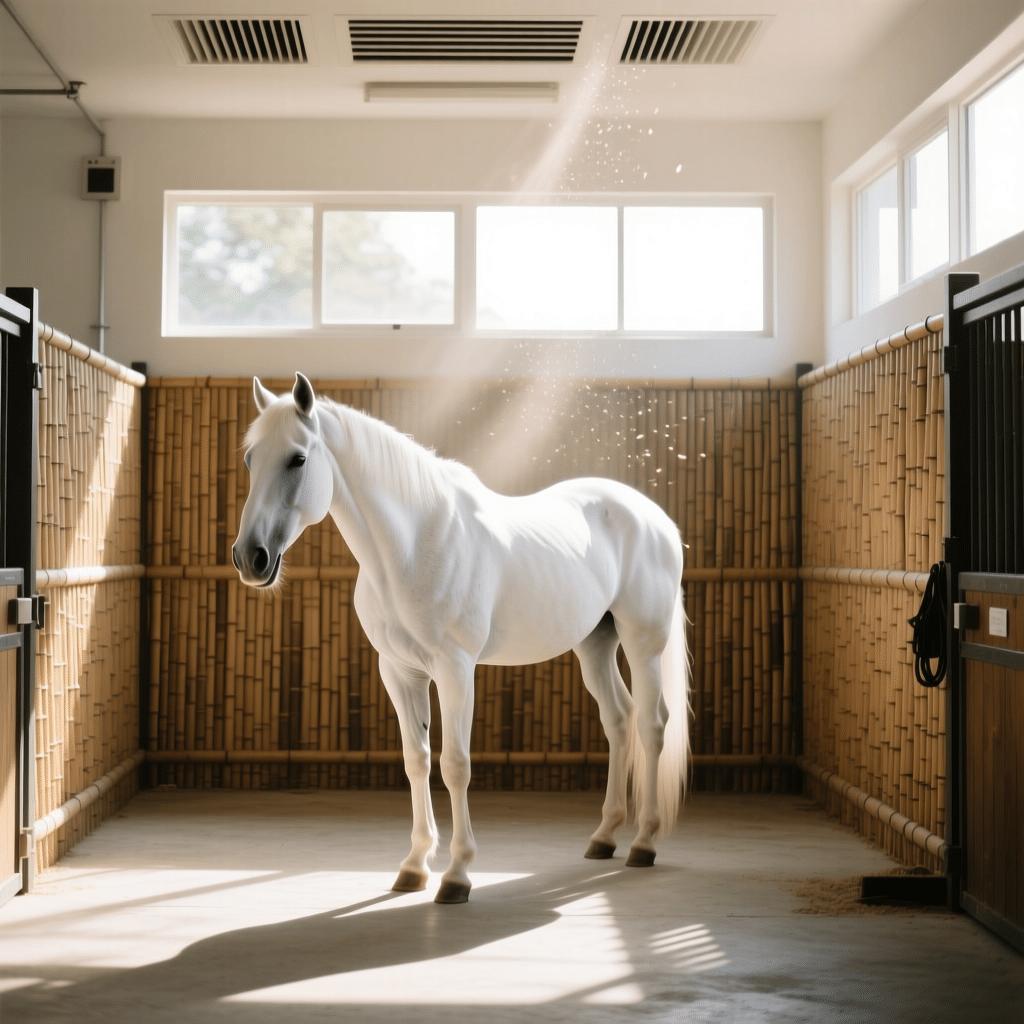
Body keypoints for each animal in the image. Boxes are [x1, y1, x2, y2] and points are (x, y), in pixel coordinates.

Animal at [232, 373, 690, 904]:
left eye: (298, 459)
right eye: (250, 459)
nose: (250, 558)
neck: (413, 546)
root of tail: (656, 518)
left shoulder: (455, 669)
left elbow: (455, 765)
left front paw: (457, 874)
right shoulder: (399, 672)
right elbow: (416, 761)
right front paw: (413, 866)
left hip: (643, 644)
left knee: (652, 726)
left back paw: (643, 843)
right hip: (595, 645)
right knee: (618, 720)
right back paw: (604, 837)